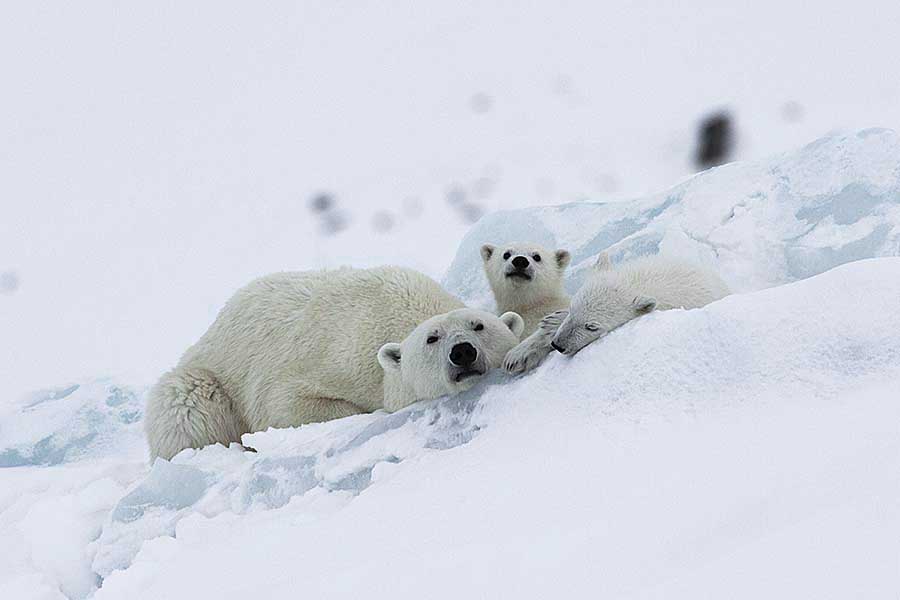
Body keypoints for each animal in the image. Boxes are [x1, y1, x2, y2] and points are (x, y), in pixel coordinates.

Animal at [144, 268, 524, 460]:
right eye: (433, 337)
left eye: (479, 325)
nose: (462, 352)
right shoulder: (333, 355)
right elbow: (283, 405)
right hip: (204, 380)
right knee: (187, 407)